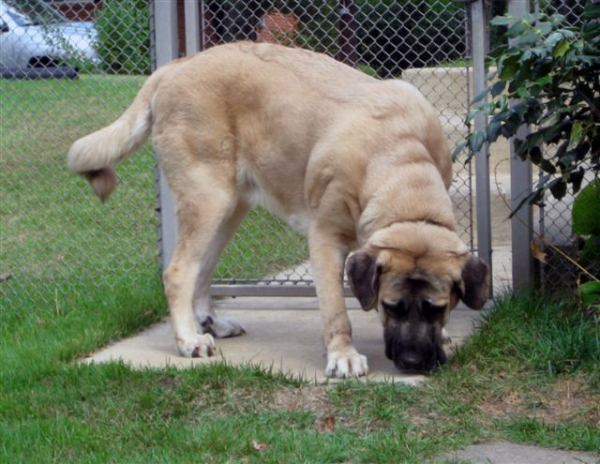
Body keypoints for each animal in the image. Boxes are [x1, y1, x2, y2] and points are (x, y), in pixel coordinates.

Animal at [68, 42, 490, 376]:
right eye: (391, 306)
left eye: (436, 308)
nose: (414, 363)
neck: (401, 162)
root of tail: (173, 66)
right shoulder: (325, 239)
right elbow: (336, 310)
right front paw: (342, 356)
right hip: (208, 198)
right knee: (178, 271)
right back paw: (189, 339)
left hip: (229, 208)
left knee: (202, 269)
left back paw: (210, 324)